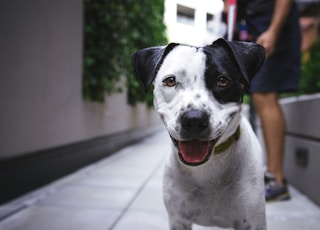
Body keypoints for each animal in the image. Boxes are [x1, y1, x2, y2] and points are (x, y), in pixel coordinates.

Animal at [131, 38, 266, 229]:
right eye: (170, 81)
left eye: (223, 81)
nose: (194, 119)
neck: (209, 167)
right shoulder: (178, 219)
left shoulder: (252, 222)